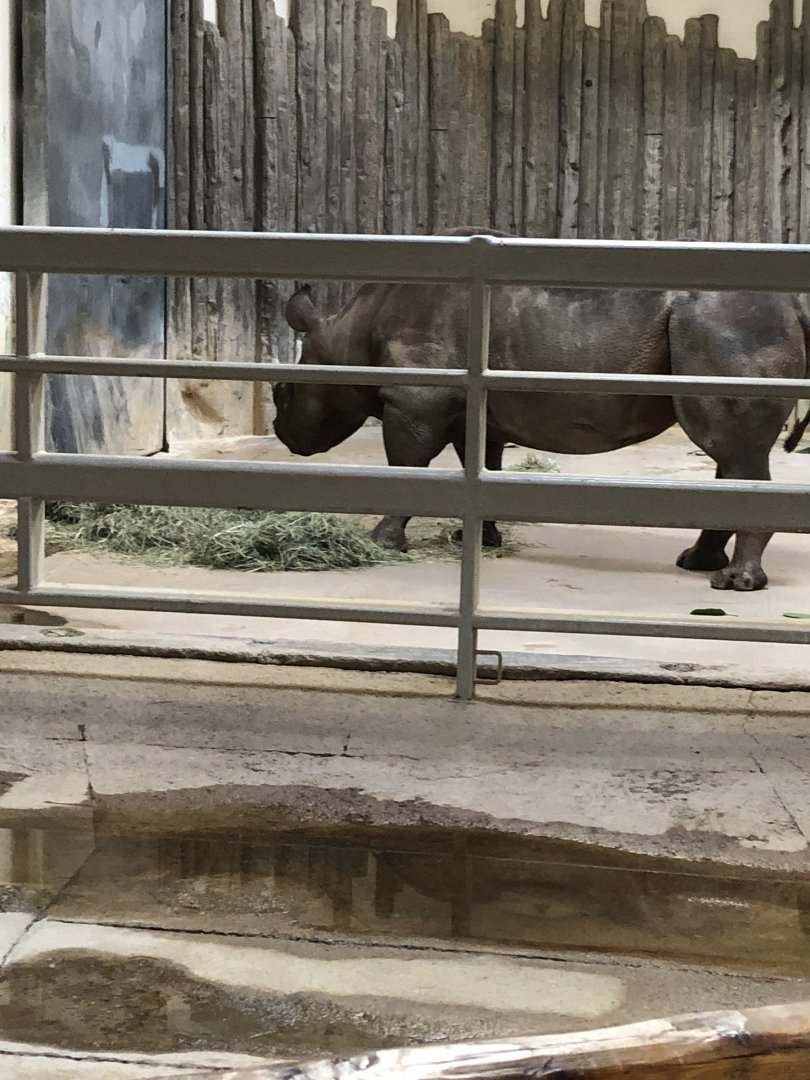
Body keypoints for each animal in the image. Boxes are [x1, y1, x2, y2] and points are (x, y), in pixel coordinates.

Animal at [273, 230, 810, 592]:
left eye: (283, 392)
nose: (283, 434)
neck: (346, 337)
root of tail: (791, 305)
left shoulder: (414, 400)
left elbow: (407, 468)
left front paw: (383, 542)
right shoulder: (472, 407)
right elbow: (481, 463)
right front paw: (476, 538)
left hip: (727, 324)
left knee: (732, 450)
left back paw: (733, 582)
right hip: (727, 324)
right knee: (730, 457)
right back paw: (697, 563)